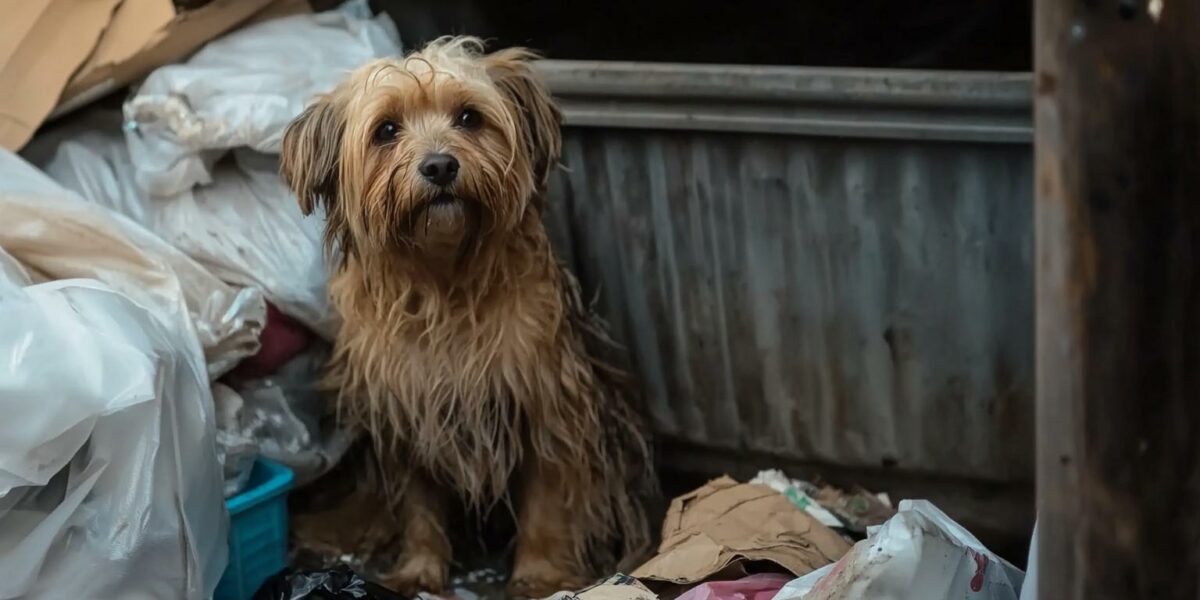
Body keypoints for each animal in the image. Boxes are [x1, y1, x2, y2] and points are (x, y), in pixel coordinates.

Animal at [278, 36, 657, 595]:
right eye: (386, 130)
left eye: (468, 117)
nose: (439, 166)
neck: (444, 283)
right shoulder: (405, 416)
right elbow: (419, 506)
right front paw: (418, 569)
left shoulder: (547, 404)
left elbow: (548, 499)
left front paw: (540, 575)